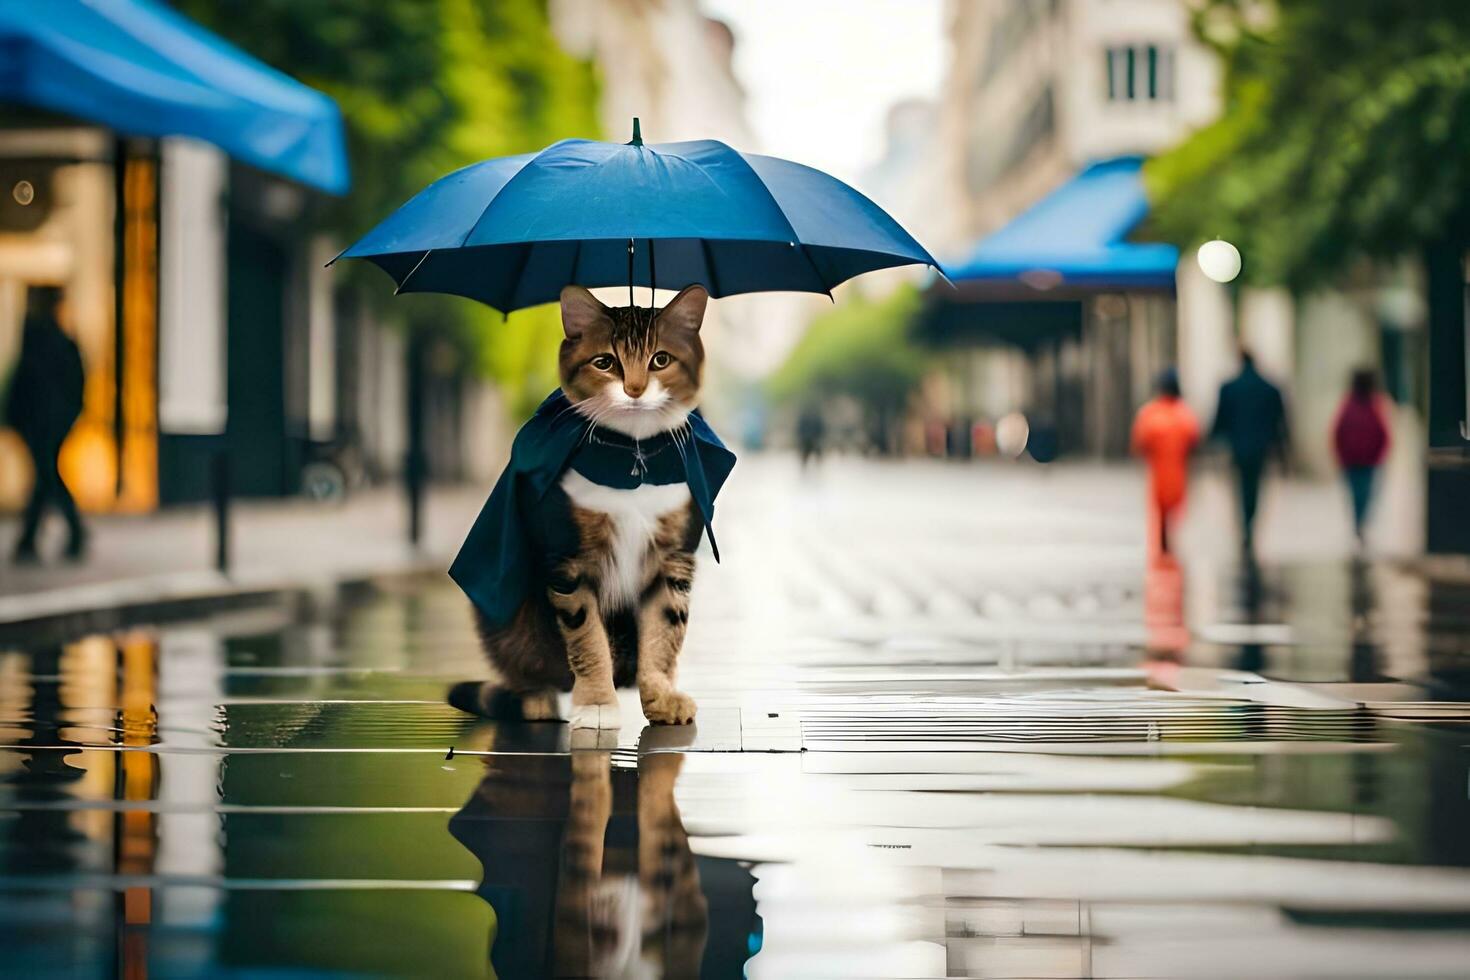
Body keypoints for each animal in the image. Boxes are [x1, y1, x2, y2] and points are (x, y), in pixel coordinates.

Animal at [449, 283, 720, 728]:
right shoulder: (570, 560)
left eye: (660, 359)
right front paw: (595, 703)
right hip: (506, 618)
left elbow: (663, 633)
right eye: (605, 363)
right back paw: (539, 698)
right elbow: (586, 635)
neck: (630, 454)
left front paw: (661, 698)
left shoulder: (673, 560)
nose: (634, 389)